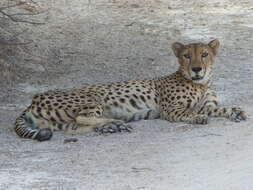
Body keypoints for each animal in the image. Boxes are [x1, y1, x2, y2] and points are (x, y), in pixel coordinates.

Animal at [14, 39, 247, 141]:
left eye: (205, 54)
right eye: (187, 56)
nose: (197, 68)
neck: (200, 83)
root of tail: (32, 100)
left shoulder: (207, 105)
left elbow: (217, 108)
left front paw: (235, 111)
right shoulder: (170, 110)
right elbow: (190, 112)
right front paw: (197, 117)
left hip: (61, 121)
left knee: (73, 127)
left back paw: (111, 127)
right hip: (92, 98)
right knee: (82, 118)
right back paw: (115, 122)